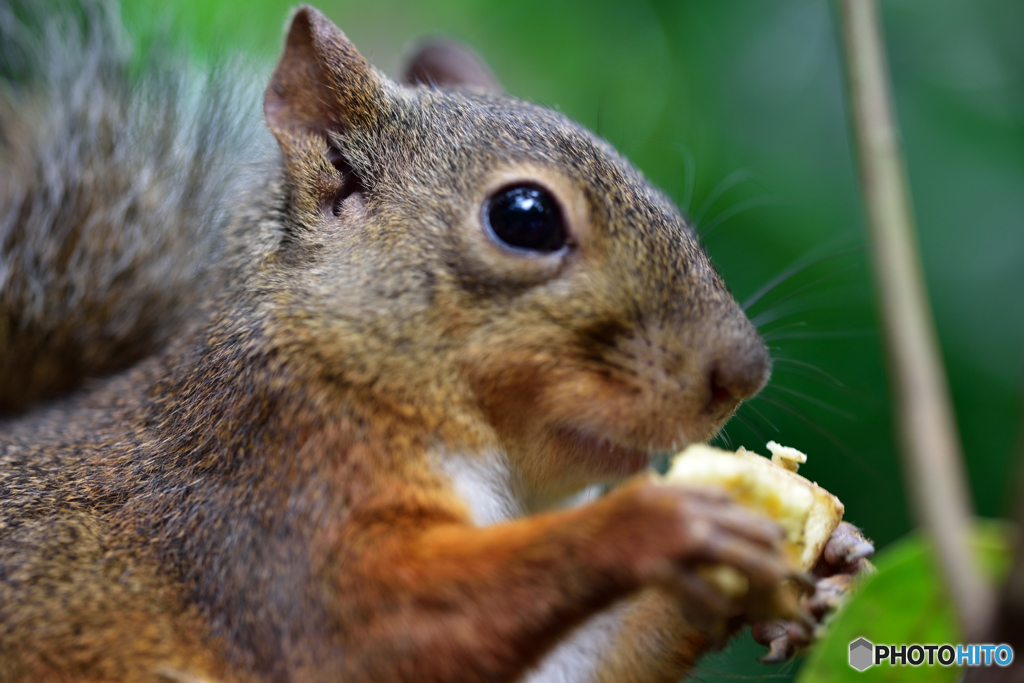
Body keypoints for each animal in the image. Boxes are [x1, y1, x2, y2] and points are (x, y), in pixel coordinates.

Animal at [0, 1, 872, 683]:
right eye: (525, 218)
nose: (745, 372)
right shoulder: (262, 509)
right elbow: (362, 632)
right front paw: (659, 524)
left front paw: (828, 560)